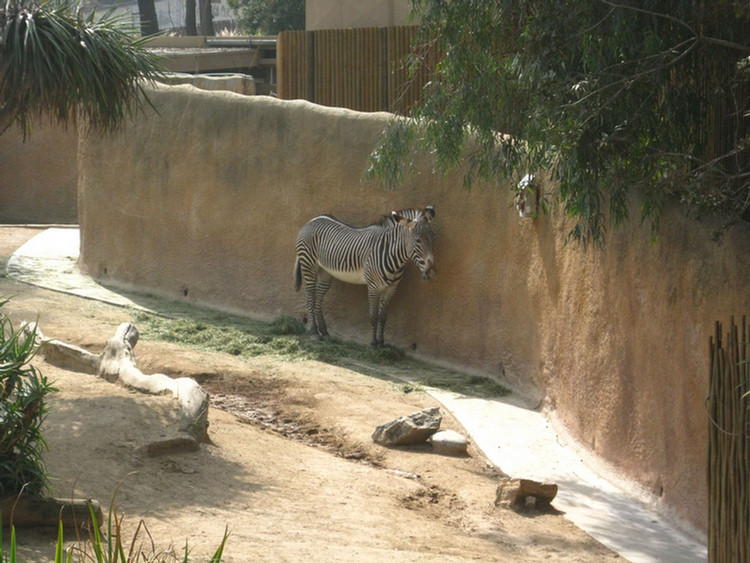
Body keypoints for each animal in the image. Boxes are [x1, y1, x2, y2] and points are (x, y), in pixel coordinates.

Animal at [294, 207, 434, 348]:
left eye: (433, 238)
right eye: (418, 240)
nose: (431, 271)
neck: (391, 253)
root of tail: (312, 220)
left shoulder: (391, 289)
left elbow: (383, 317)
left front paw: (381, 342)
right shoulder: (373, 286)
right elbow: (373, 317)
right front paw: (373, 343)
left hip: (325, 272)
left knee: (318, 299)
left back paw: (324, 332)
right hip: (309, 265)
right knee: (310, 297)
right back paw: (314, 332)